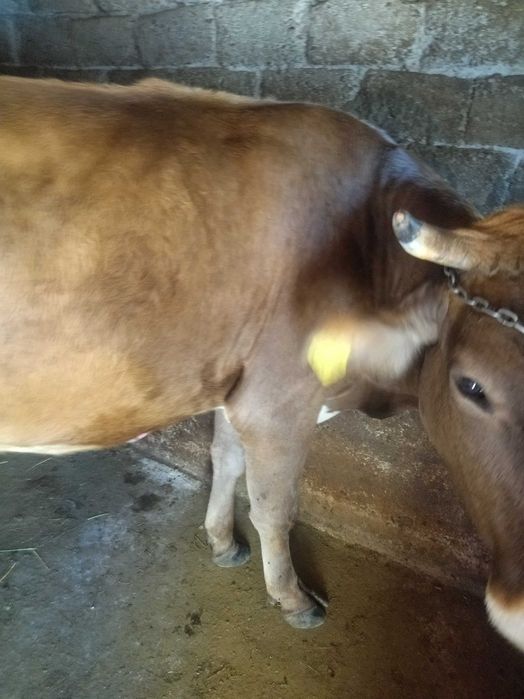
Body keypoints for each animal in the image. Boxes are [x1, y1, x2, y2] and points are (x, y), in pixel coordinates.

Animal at [0, 76, 522, 650]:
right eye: (471, 386)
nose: (517, 610)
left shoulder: (237, 385)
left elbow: (225, 459)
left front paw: (223, 541)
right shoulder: (277, 402)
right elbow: (275, 505)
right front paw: (293, 598)